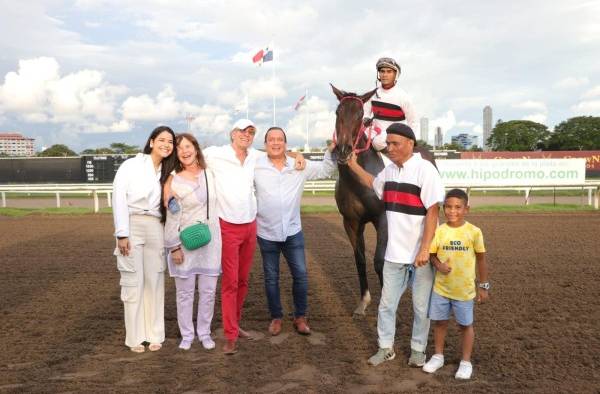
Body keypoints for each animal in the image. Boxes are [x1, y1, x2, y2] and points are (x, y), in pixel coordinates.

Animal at [328, 84, 436, 318]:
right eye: (338, 112)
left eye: (360, 115)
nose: (344, 150)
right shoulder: (351, 222)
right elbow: (360, 259)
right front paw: (363, 303)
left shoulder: (383, 218)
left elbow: (379, 261)